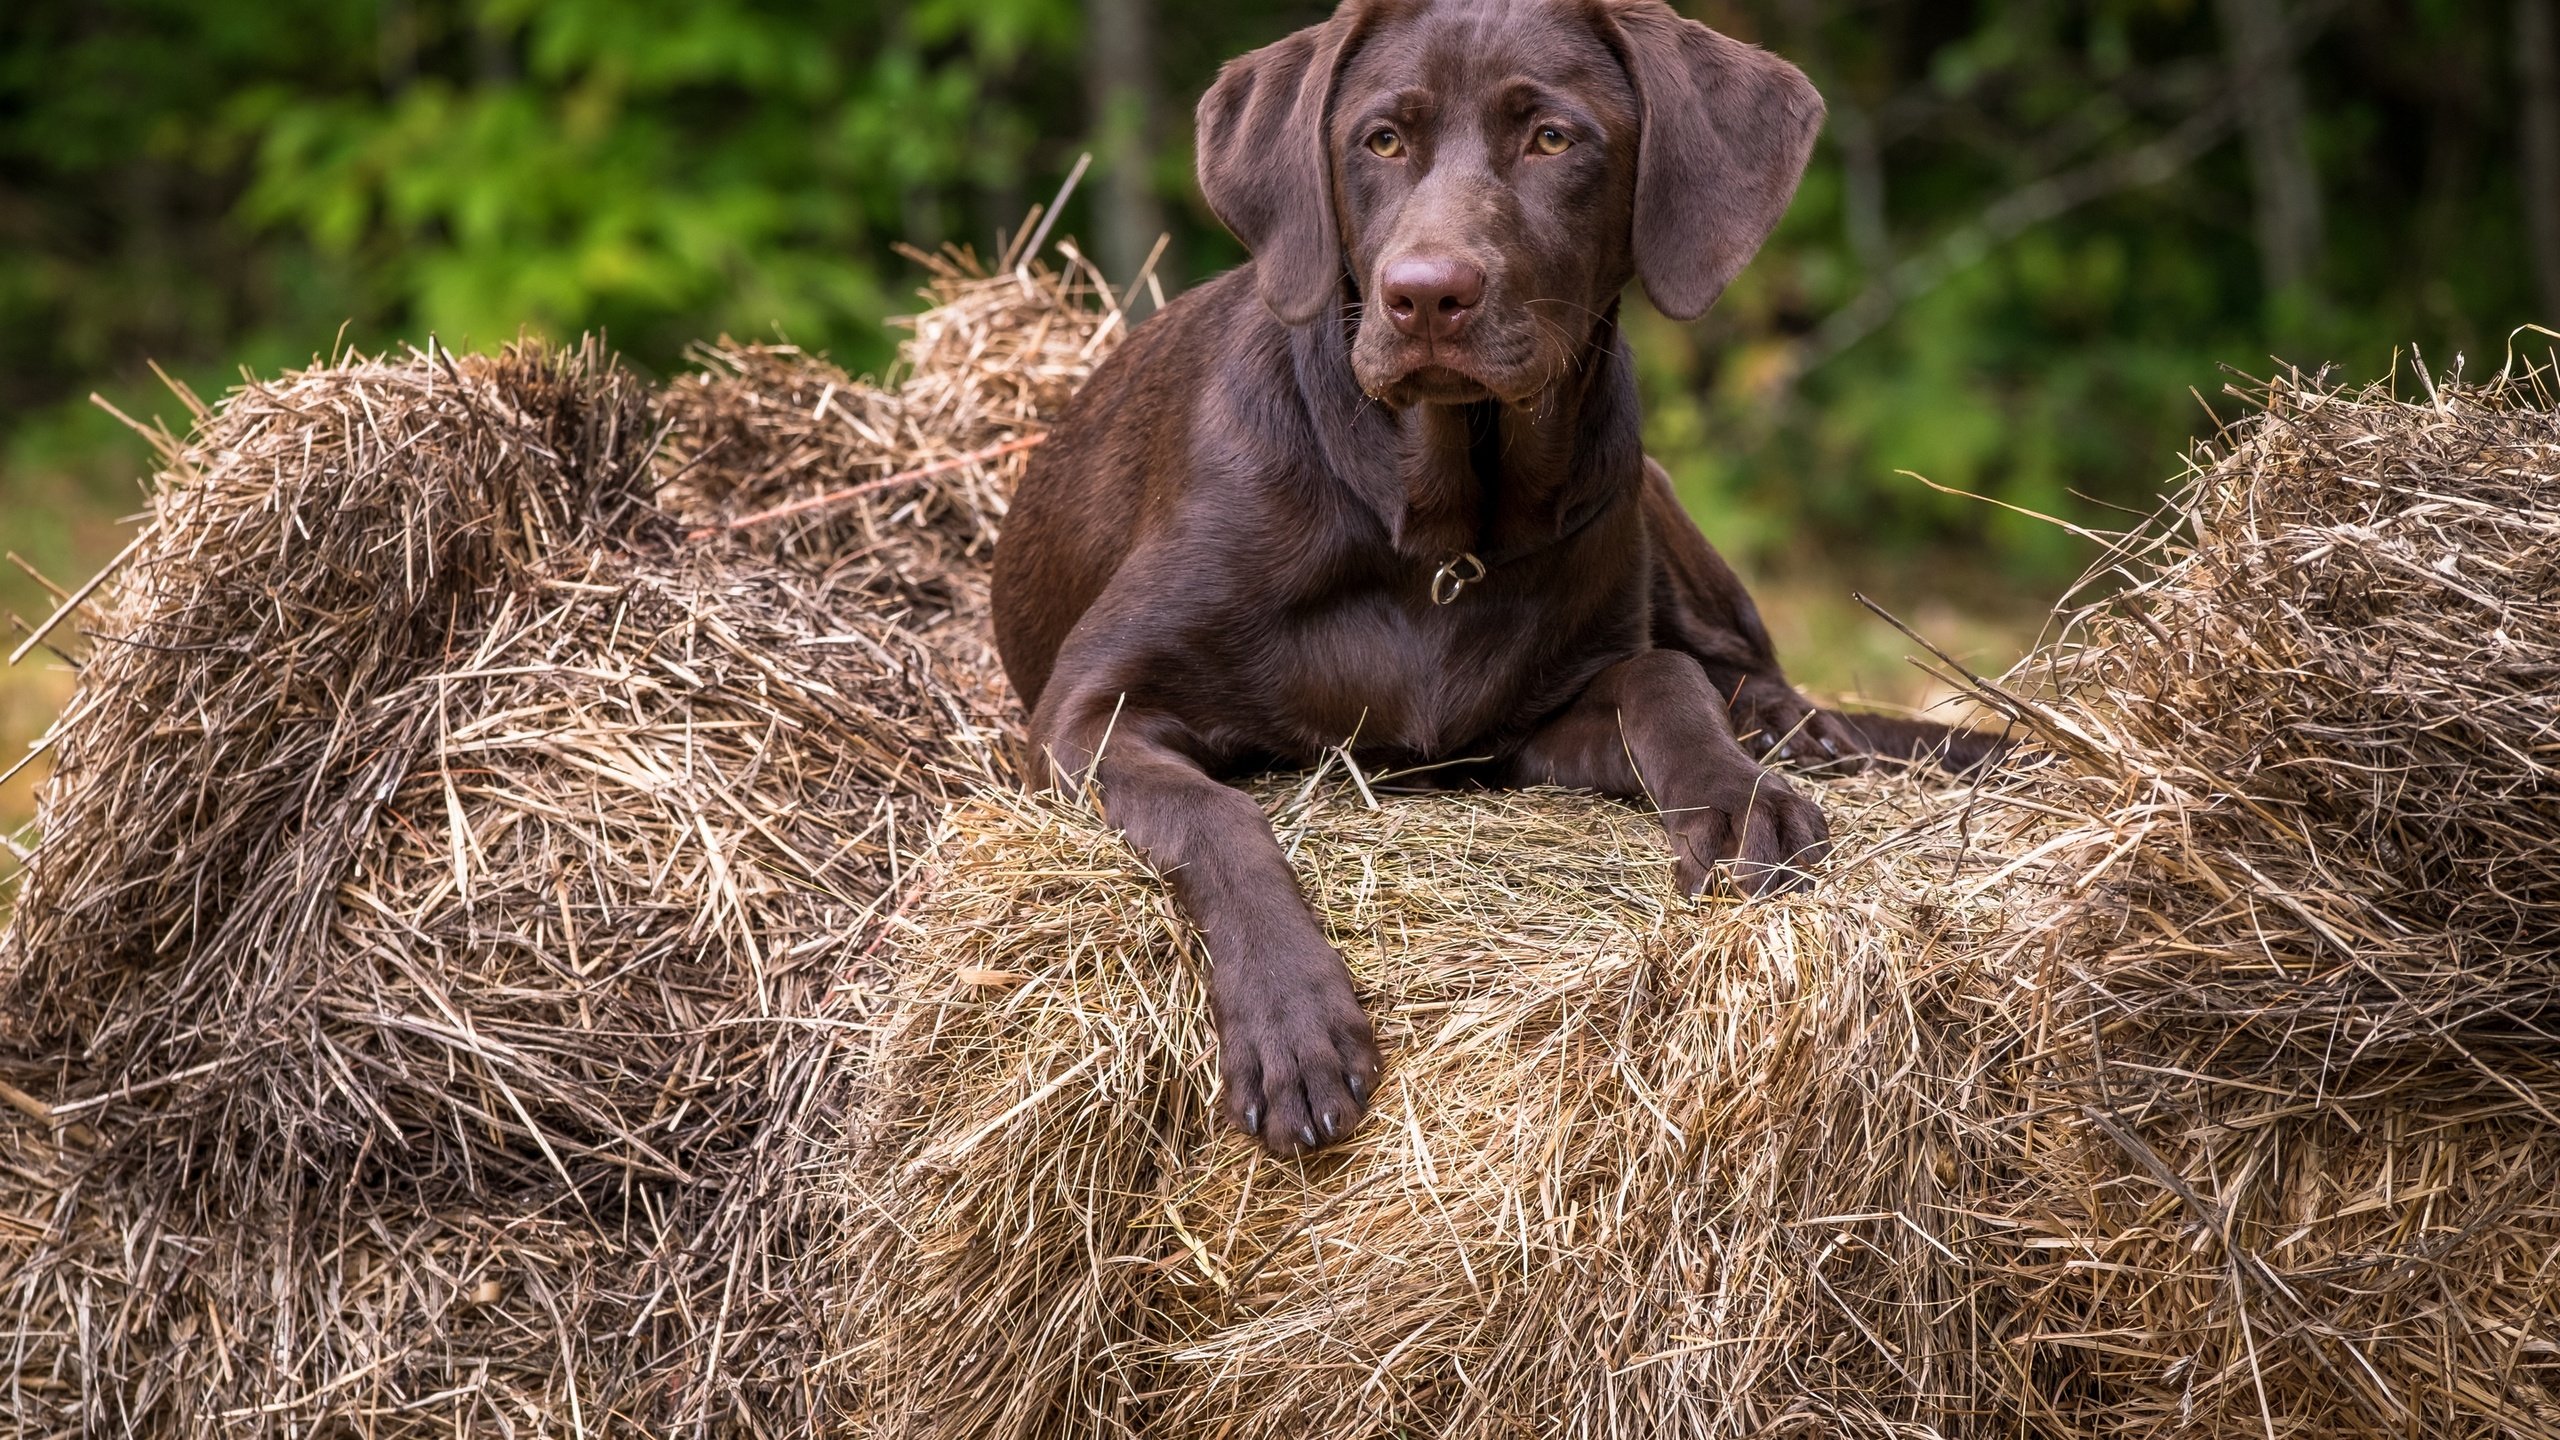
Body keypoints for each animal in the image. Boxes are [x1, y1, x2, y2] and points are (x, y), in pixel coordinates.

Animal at [988, 0, 1986, 1147]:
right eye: (1380, 141)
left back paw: (1793, 730)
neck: (1434, 533)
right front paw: (1291, 1016)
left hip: (1643, 484)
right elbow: (1218, 817)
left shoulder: (1518, 732)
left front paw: (1739, 797)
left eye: (1552, 139)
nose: (1425, 297)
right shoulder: (1082, 713)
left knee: (1740, 661)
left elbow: (1663, 679)